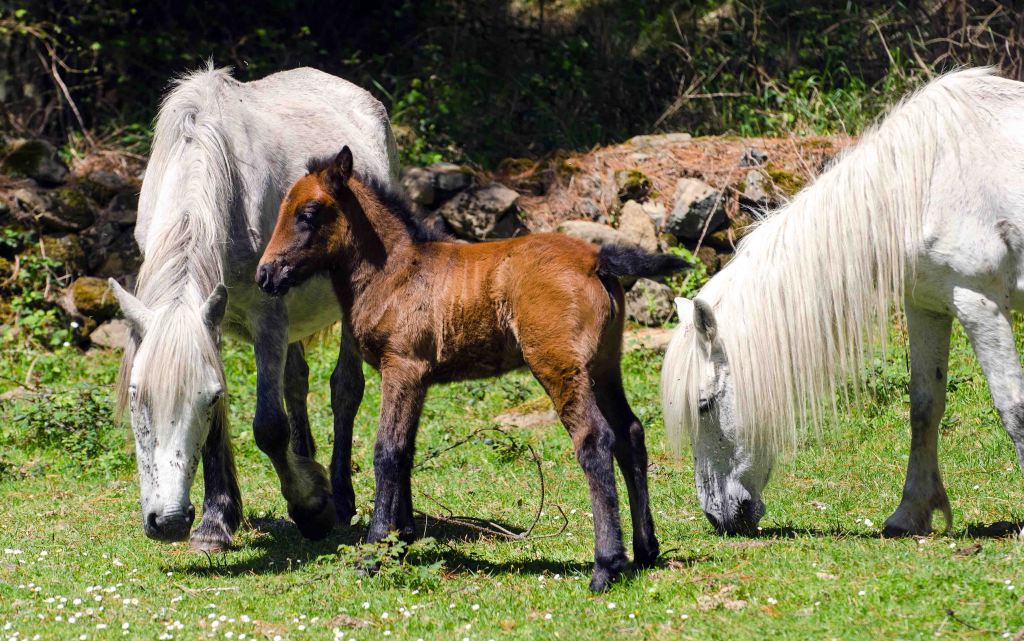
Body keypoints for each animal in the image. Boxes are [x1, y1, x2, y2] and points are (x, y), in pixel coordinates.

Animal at [107, 64, 400, 551]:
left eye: (205, 398)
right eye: (135, 395)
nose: (169, 521)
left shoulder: (268, 317)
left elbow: (269, 426)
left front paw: (312, 508)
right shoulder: (213, 319)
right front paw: (217, 520)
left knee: (345, 390)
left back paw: (339, 496)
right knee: (297, 382)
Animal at [255, 146, 688, 591]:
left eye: (308, 213)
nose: (265, 275)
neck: (395, 272)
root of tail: (598, 259)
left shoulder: (401, 368)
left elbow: (386, 451)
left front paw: (375, 552)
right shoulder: (419, 378)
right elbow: (406, 450)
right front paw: (403, 539)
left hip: (559, 364)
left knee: (594, 439)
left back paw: (606, 565)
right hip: (603, 366)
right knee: (630, 433)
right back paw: (645, 550)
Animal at [661, 67, 1024, 537]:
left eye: (703, 405)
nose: (717, 517)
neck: (922, 181)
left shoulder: (979, 304)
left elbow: (1012, 407)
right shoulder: (928, 307)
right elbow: (924, 407)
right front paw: (910, 513)